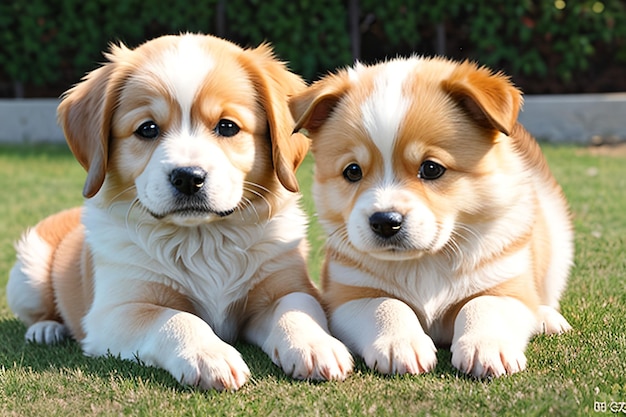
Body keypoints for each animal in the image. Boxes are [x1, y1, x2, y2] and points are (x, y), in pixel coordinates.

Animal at [6, 35, 352, 390]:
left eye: (227, 126)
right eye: (147, 129)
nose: (188, 177)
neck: (203, 238)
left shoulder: (286, 286)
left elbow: (296, 308)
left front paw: (315, 344)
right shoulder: (116, 311)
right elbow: (175, 318)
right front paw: (209, 355)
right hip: (27, 275)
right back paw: (46, 329)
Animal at [288, 57, 572, 378]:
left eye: (432, 168)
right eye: (352, 171)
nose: (385, 221)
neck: (424, 263)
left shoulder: (506, 286)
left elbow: (483, 304)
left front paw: (486, 347)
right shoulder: (349, 296)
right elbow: (387, 305)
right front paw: (401, 344)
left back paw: (547, 318)